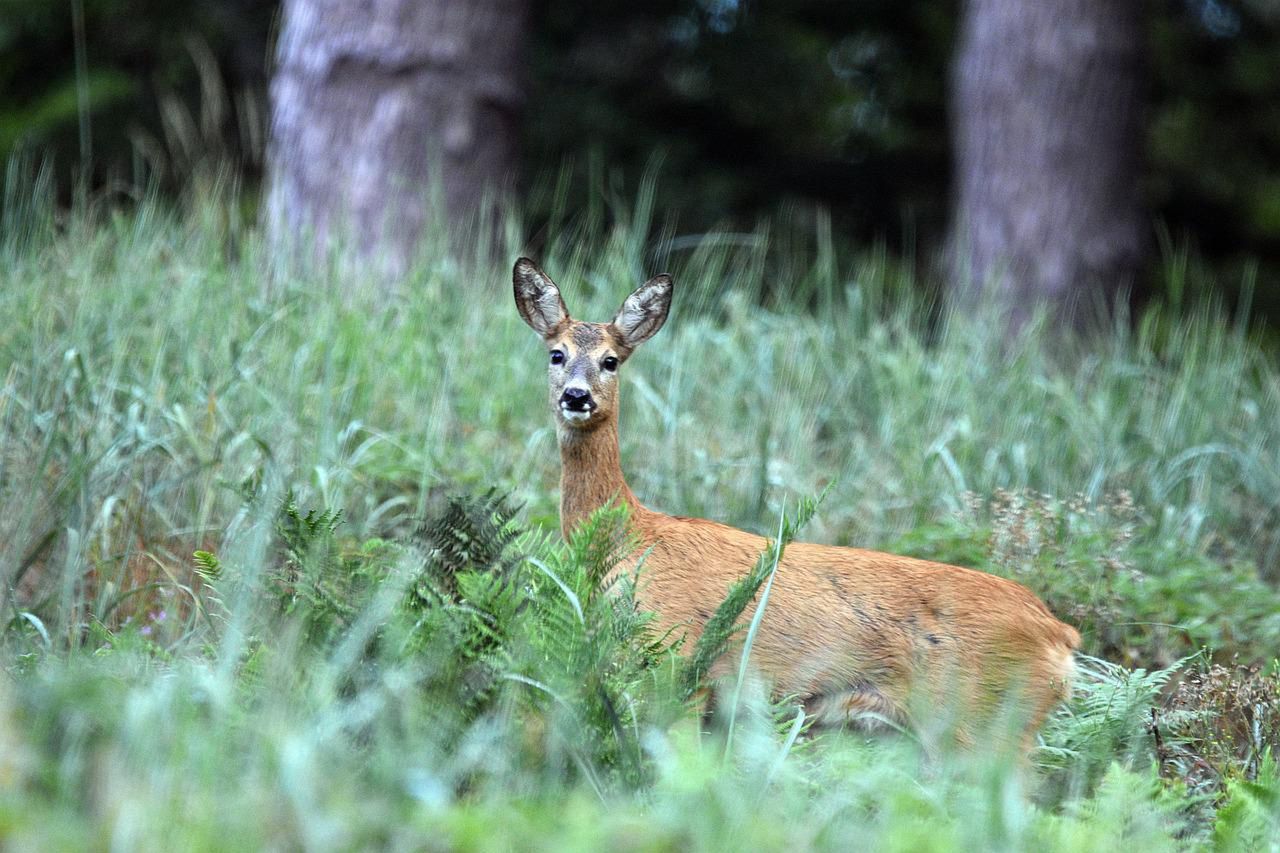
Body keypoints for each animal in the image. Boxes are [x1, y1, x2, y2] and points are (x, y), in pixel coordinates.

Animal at [509, 256, 1080, 747]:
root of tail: (1061, 635)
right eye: (557, 354)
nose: (576, 396)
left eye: (610, 361)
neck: (629, 539)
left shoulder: (680, 662)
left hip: (982, 721)